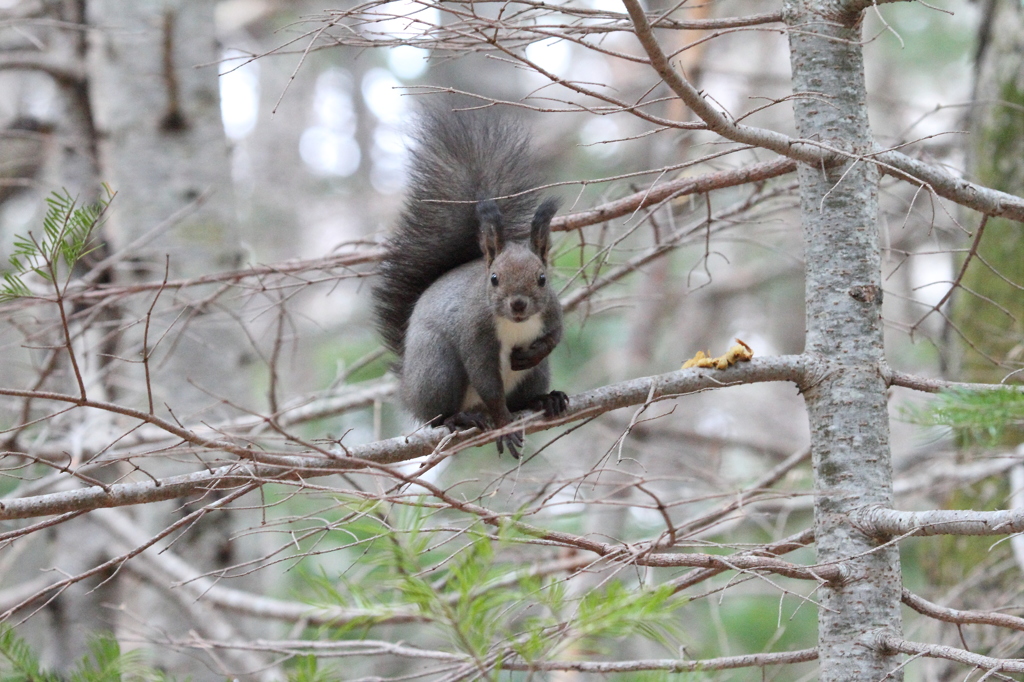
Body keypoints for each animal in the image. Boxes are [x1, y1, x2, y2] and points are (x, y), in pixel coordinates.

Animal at [374, 104, 573, 456]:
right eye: (494, 278)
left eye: (542, 278)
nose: (518, 304)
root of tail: (408, 389)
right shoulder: (475, 332)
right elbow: (487, 382)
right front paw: (505, 425)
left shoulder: (552, 311)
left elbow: (555, 337)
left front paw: (533, 352)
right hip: (437, 367)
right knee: (439, 416)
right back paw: (459, 419)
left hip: (535, 376)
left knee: (524, 394)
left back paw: (545, 400)